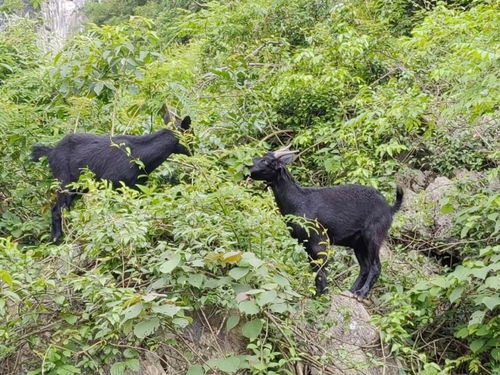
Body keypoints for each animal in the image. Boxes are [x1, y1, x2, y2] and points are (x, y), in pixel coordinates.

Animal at [31, 109, 191, 244]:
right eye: (190, 133)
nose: (193, 151)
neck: (139, 156)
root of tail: (50, 152)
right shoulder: (111, 183)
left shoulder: (136, 188)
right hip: (65, 181)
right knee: (58, 209)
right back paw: (56, 238)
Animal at [250, 145, 402, 298]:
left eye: (267, 161)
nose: (250, 169)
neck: (299, 201)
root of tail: (390, 208)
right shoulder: (305, 242)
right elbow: (315, 267)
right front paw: (318, 294)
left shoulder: (318, 239)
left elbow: (321, 268)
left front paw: (322, 295)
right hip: (358, 244)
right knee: (364, 268)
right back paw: (350, 291)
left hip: (373, 236)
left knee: (375, 266)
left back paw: (361, 293)